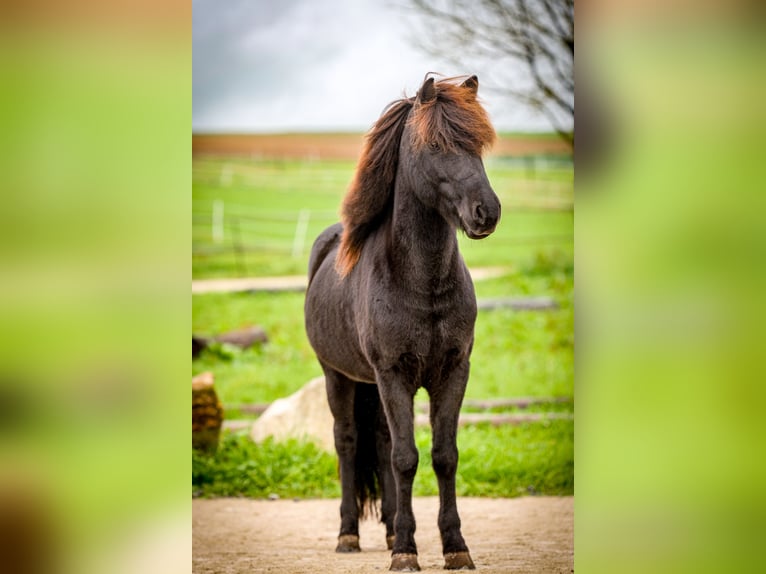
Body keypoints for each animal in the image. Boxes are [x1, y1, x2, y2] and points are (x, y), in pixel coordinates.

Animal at [304, 74, 500, 571]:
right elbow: (406, 458)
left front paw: (454, 546)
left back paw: (391, 527)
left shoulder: (453, 372)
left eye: (477, 145)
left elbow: (443, 456)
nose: (486, 212)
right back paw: (349, 535)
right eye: (435, 145)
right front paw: (407, 552)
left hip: (370, 383)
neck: (421, 283)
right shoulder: (393, 374)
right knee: (348, 443)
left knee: (378, 442)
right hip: (338, 376)